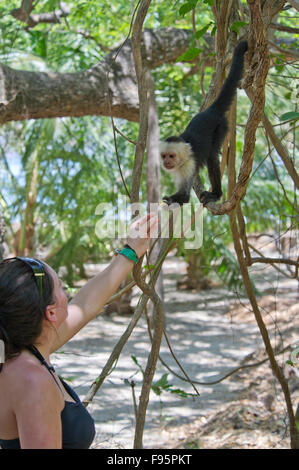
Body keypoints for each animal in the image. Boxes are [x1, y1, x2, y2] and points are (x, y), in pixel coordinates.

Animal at [161, 41, 250, 207]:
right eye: (164, 156)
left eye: (171, 155)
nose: (166, 162)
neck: (181, 160)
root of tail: (211, 111)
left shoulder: (188, 165)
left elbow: (184, 197)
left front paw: (170, 199)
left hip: (221, 127)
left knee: (212, 156)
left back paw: (216, 194)